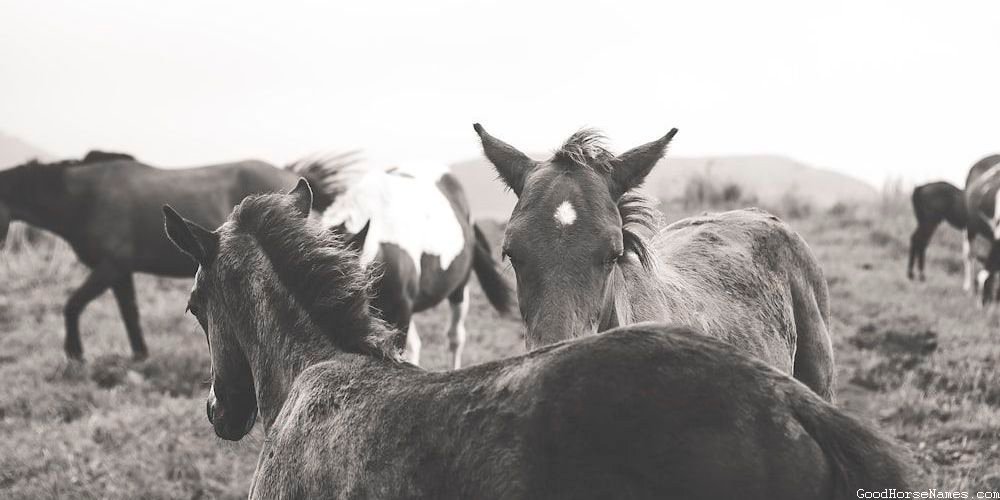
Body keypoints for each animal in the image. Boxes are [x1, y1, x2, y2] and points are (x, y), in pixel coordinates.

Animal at [0, 152, 336, 360]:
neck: (83, 197)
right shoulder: (120, 272)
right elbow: (130, 313)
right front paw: (140, 355)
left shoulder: (110, 267)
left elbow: (73, 305)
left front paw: (75, 355)